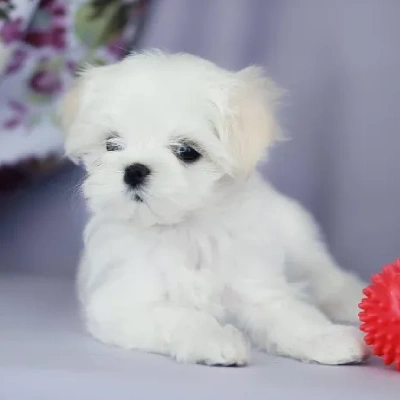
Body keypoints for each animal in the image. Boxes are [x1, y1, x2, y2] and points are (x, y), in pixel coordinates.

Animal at [59, 50, 368, 366]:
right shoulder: (123, 302)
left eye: (186, 151)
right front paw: (216, 339)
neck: (183, 228)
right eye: (111, 144)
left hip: (296, 238)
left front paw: (326, 338)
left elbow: (289, 313)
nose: (134, 170)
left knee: (324, 274)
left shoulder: (254, 284)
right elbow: (180, 317)